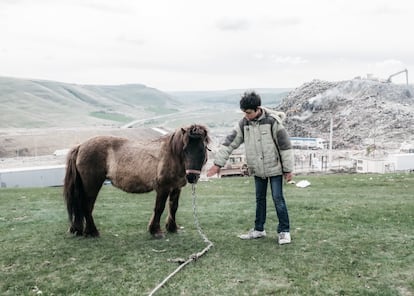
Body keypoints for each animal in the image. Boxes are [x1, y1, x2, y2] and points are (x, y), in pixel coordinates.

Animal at [63, 124, 210, 238]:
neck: (172, 155)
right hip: (92, 185)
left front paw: (172, 227)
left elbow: (173, 207)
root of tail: (80, 146)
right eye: (185, 149)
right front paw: (155, 231)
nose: (192, 177)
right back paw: (92, 231)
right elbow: (159, 208)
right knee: (87, 206)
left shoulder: (176, 187)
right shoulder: (163, 187)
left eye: (202, 149)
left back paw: (78, 229)